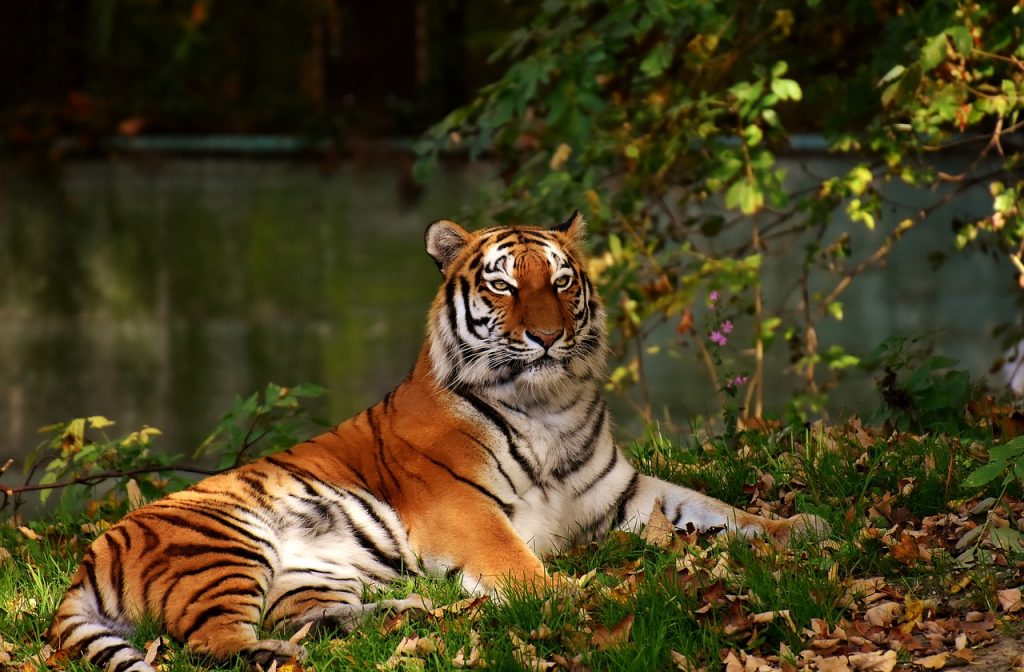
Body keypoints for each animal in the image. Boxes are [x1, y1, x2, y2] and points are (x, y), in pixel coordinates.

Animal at [48, 211, 827, 672]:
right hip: (226, 542)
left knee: (302, 616)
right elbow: (517, 564)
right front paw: (572, 592)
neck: (549, 404)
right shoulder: (463, 508)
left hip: (313, 571)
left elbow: (715, 508)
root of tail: (89, 555)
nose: (547, 337)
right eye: (504, 286)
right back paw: (276, 653)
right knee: (213, 642)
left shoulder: (624, 491)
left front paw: (802, 526)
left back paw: (410, 613)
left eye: (562, 282)